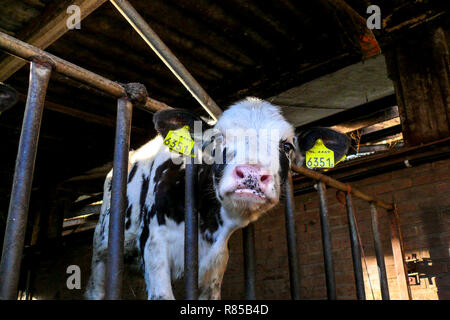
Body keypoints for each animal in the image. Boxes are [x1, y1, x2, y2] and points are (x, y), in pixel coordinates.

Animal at [85, 97, 352, 300]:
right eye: (217, 138)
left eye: (286, 147)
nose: (252, 174)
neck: (204, 223)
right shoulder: (153, 245)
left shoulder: (216, 263)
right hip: (102, 247)